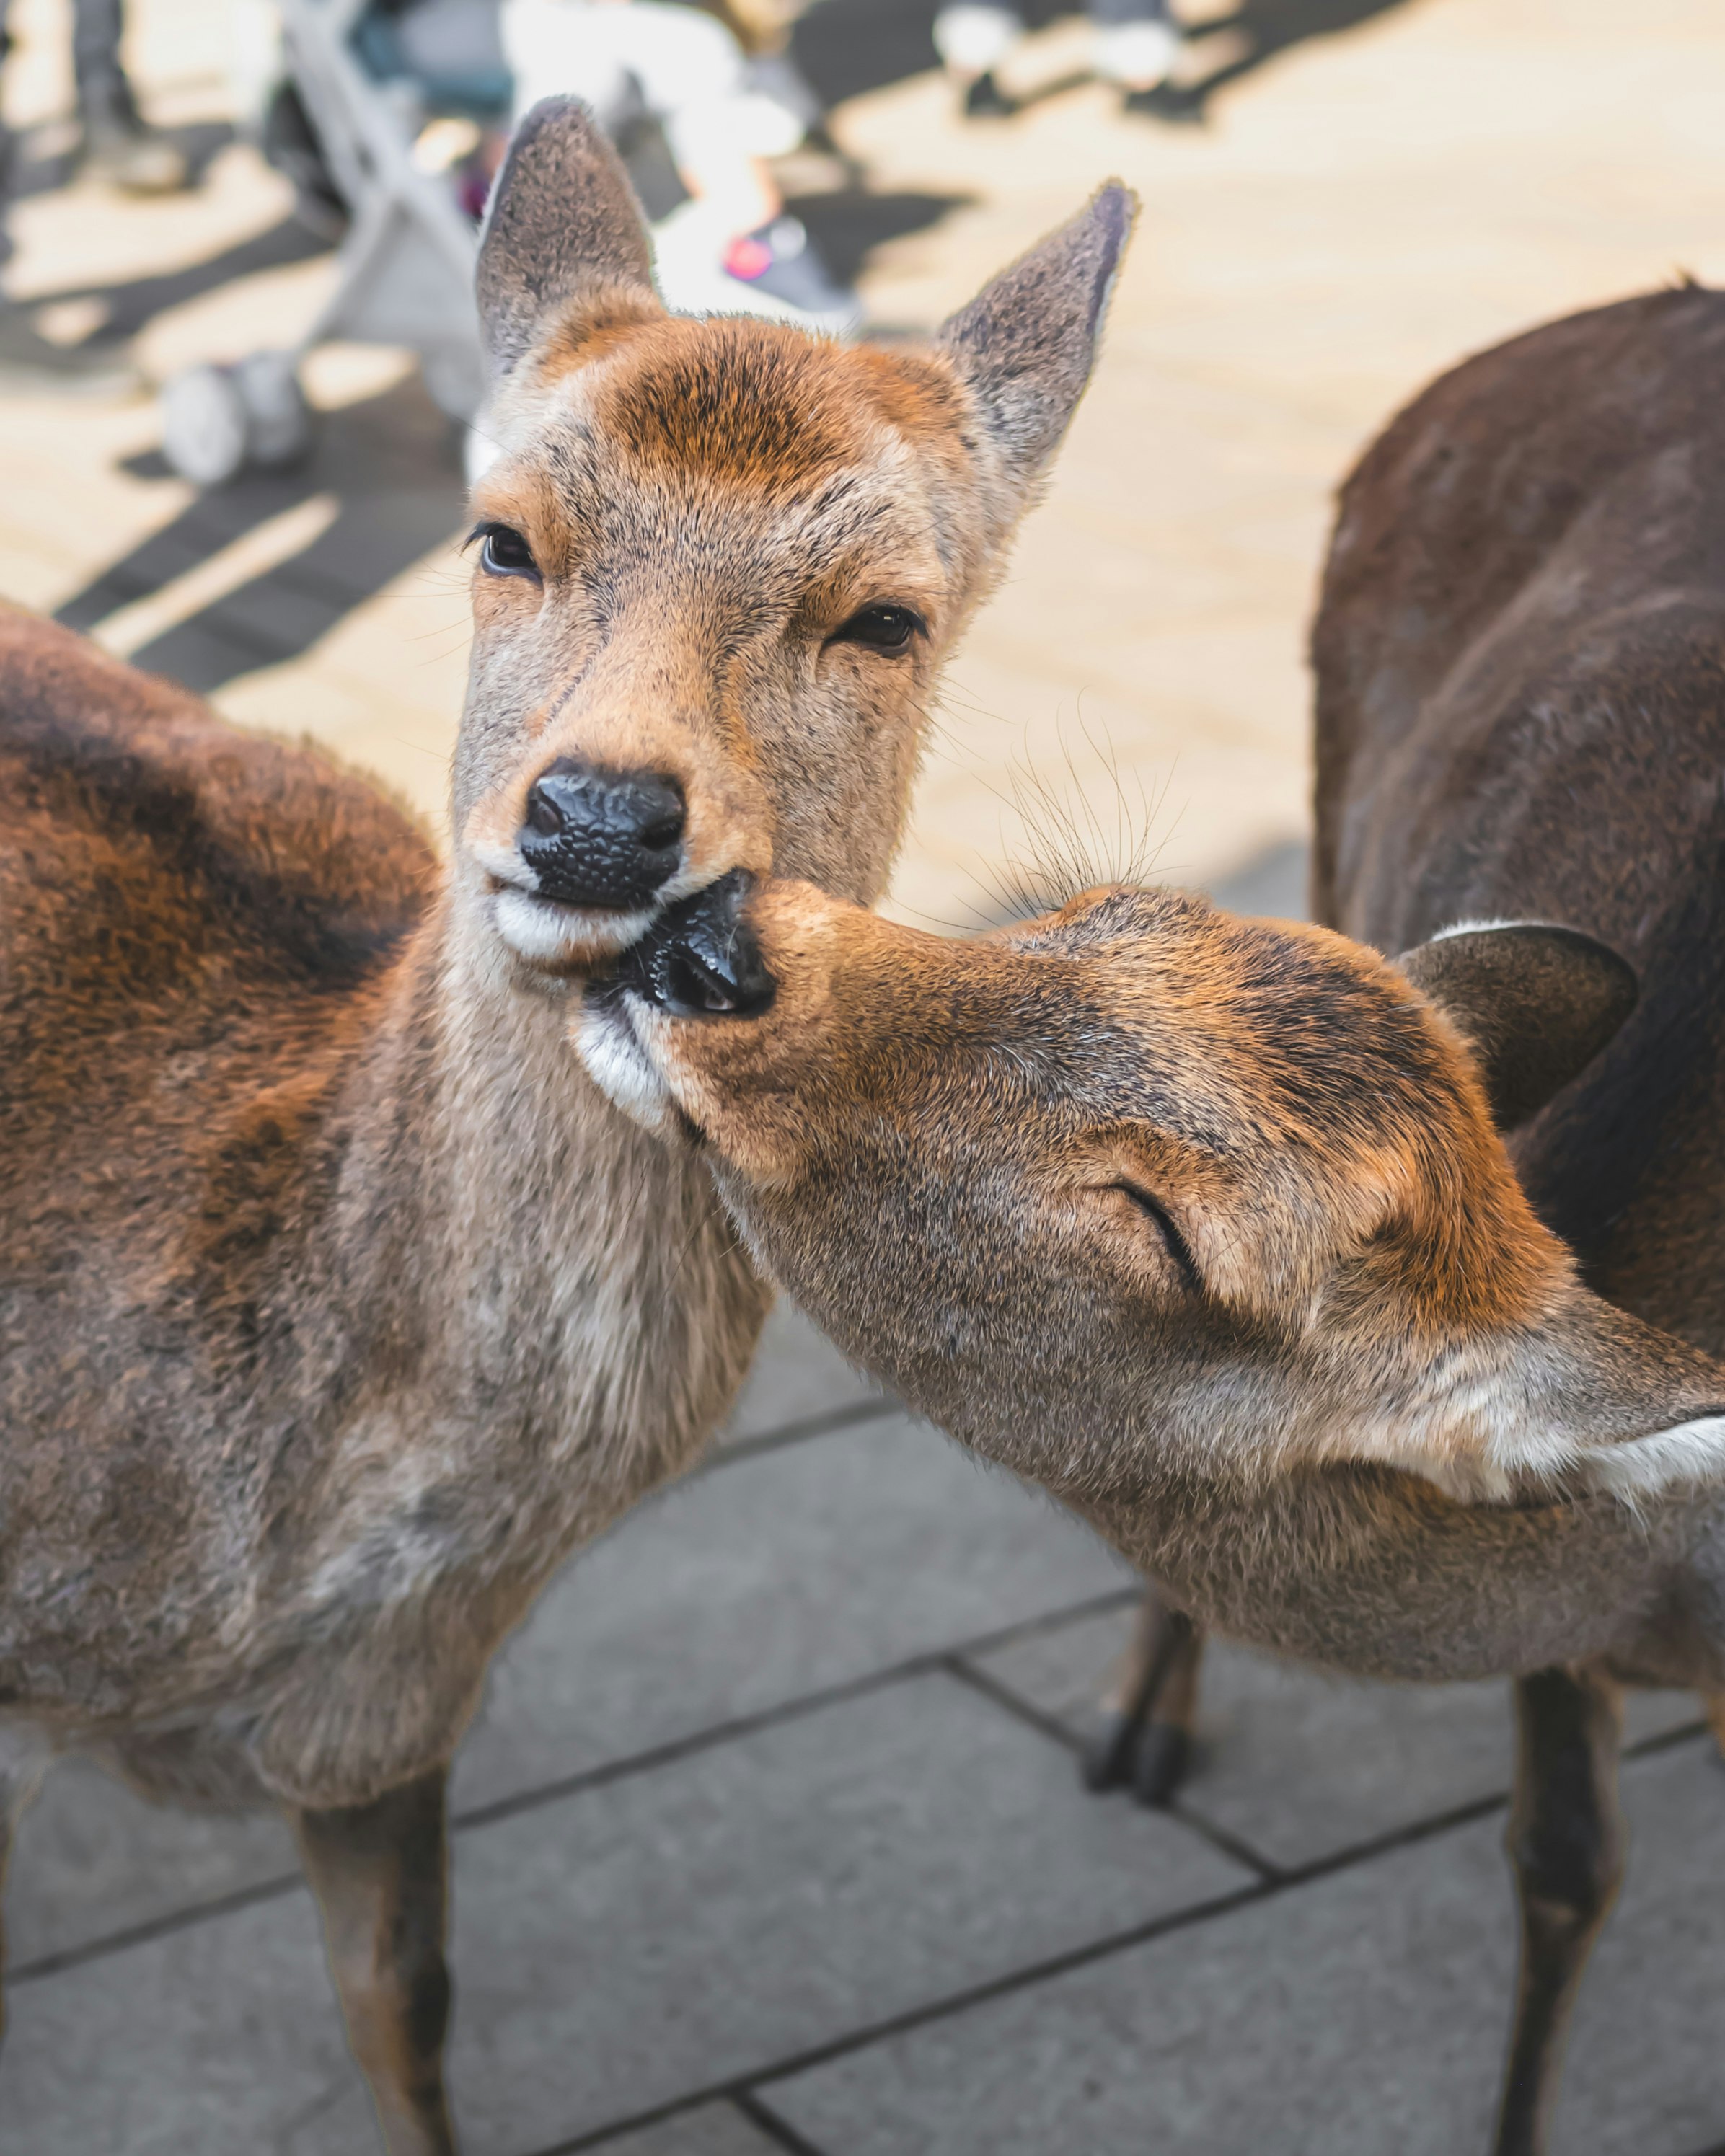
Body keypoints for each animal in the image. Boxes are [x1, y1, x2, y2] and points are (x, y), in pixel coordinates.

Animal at [577, 278, 1725, 2155]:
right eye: (1096, 914)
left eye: (1165, 1233)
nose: (714, 939)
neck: (1677, 1606)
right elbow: (1561, 1859)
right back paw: (1135, 1726)